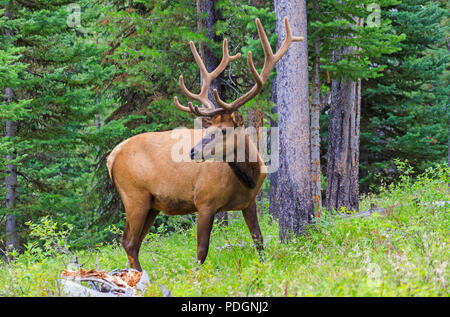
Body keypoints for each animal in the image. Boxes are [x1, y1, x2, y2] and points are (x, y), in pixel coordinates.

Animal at [107, 17, 302, 270]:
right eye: (207, 129)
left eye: (223, 130)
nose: (192, 152)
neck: (249, 177)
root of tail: (111, 157)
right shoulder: (205, 202)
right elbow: (201, 250)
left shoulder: (249, 202)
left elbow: (258, 240)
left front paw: (264, 266)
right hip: (134, 196)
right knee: (128, 242)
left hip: (151, 204)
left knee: (134, 243)